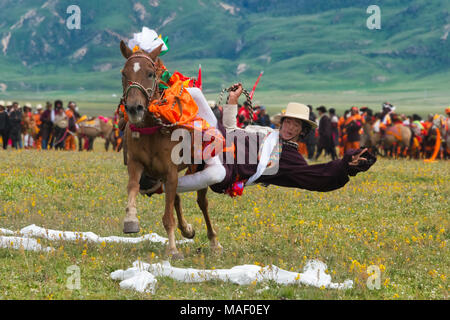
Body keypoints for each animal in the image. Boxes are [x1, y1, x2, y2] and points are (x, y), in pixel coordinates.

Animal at [119, 40, 221, 260]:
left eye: (150, 73)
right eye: (124, 73)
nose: (134, 108)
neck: (152, 129)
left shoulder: (170, 171)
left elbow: (168, 217)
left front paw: (173, 249)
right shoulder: (136, 164)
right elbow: (132, 187)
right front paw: (130, 219)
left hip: (198, 167)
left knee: (202, 202)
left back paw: (214, 242)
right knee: (175, 197)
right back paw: (187, 229)